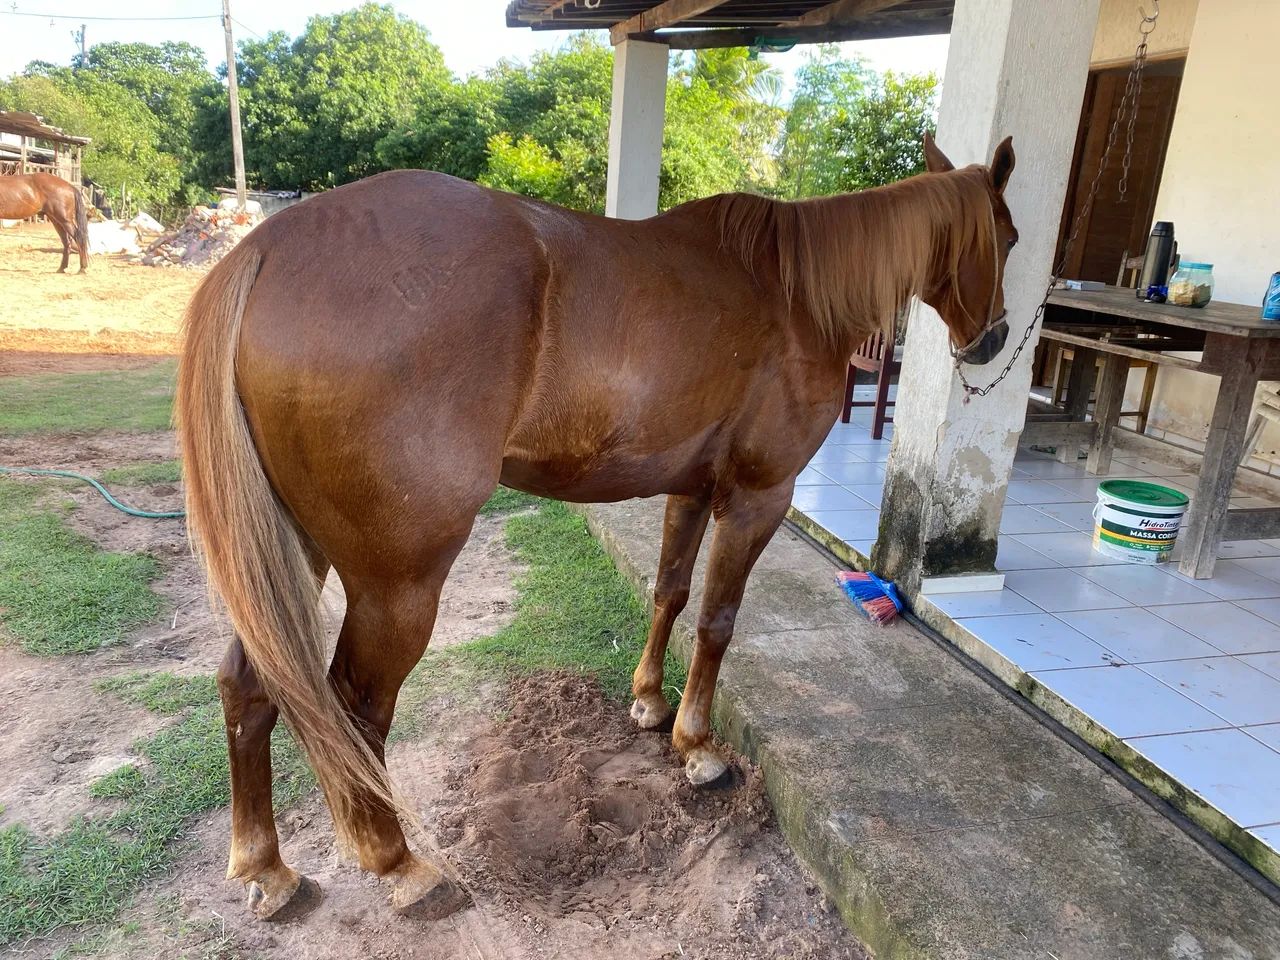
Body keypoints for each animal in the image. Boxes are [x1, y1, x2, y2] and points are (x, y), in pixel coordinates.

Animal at [176, 133, 1018, 921]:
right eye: (1008, 237)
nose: (994, 340)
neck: (794, 292)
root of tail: (264, 250)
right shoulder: (758, 497)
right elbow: (716, 620)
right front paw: (697, 745)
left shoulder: (691, 490)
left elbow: (669, 593)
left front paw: (649, 703)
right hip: (397, 584)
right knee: (353, 709)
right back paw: (401, 865)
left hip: (294, 552)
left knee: (249, 683)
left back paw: (266, 868)